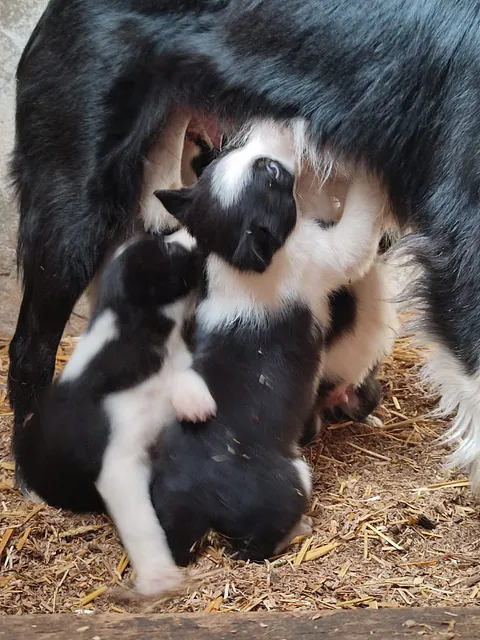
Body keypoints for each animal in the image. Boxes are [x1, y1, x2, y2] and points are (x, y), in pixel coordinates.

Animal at [13, 230, 214, 596]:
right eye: (168, 249)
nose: (195, 233)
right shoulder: (120, 463)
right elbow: (142, 523)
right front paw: (159, 576)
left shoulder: (175, 361)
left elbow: (187, 371)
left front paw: (195, 402)